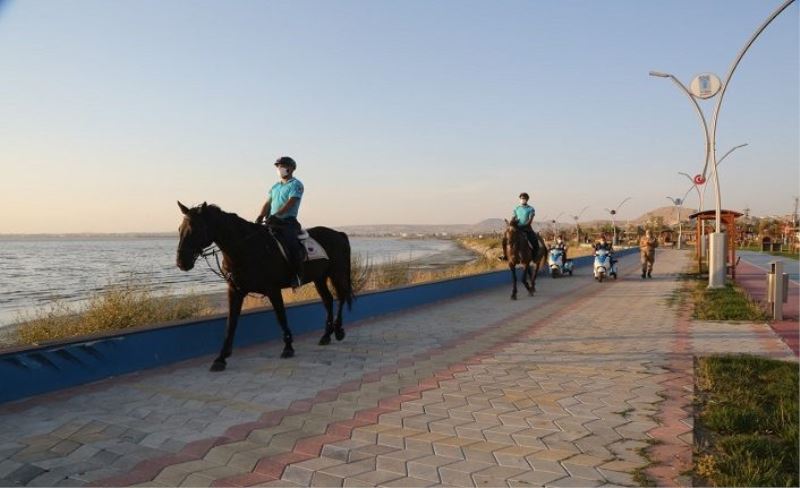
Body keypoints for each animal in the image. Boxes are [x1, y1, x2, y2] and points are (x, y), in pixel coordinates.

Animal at [178, 202, 354, 370]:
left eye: (195, 229)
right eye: (180, 229)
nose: (181, 262)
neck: (247, 249)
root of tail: (339, 234)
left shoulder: (273, 289)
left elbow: (281, 316)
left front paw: (288, 347)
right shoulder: (235, 291)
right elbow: (231, 323)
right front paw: (221, 358)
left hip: (337, 273)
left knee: (341, 296)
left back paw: (339, 331)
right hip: (319, 278)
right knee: (328, 300)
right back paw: (326, 335)